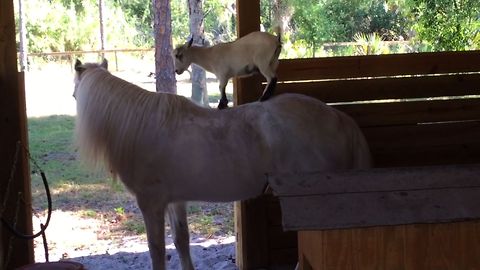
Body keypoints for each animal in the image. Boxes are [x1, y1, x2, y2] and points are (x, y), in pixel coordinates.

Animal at [72, 59, 372, 270]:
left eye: (75, 95)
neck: (144, 126)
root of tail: (338, 117)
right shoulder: (174, 202)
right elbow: (181, 242)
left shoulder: (151, 204)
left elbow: (156, 249)